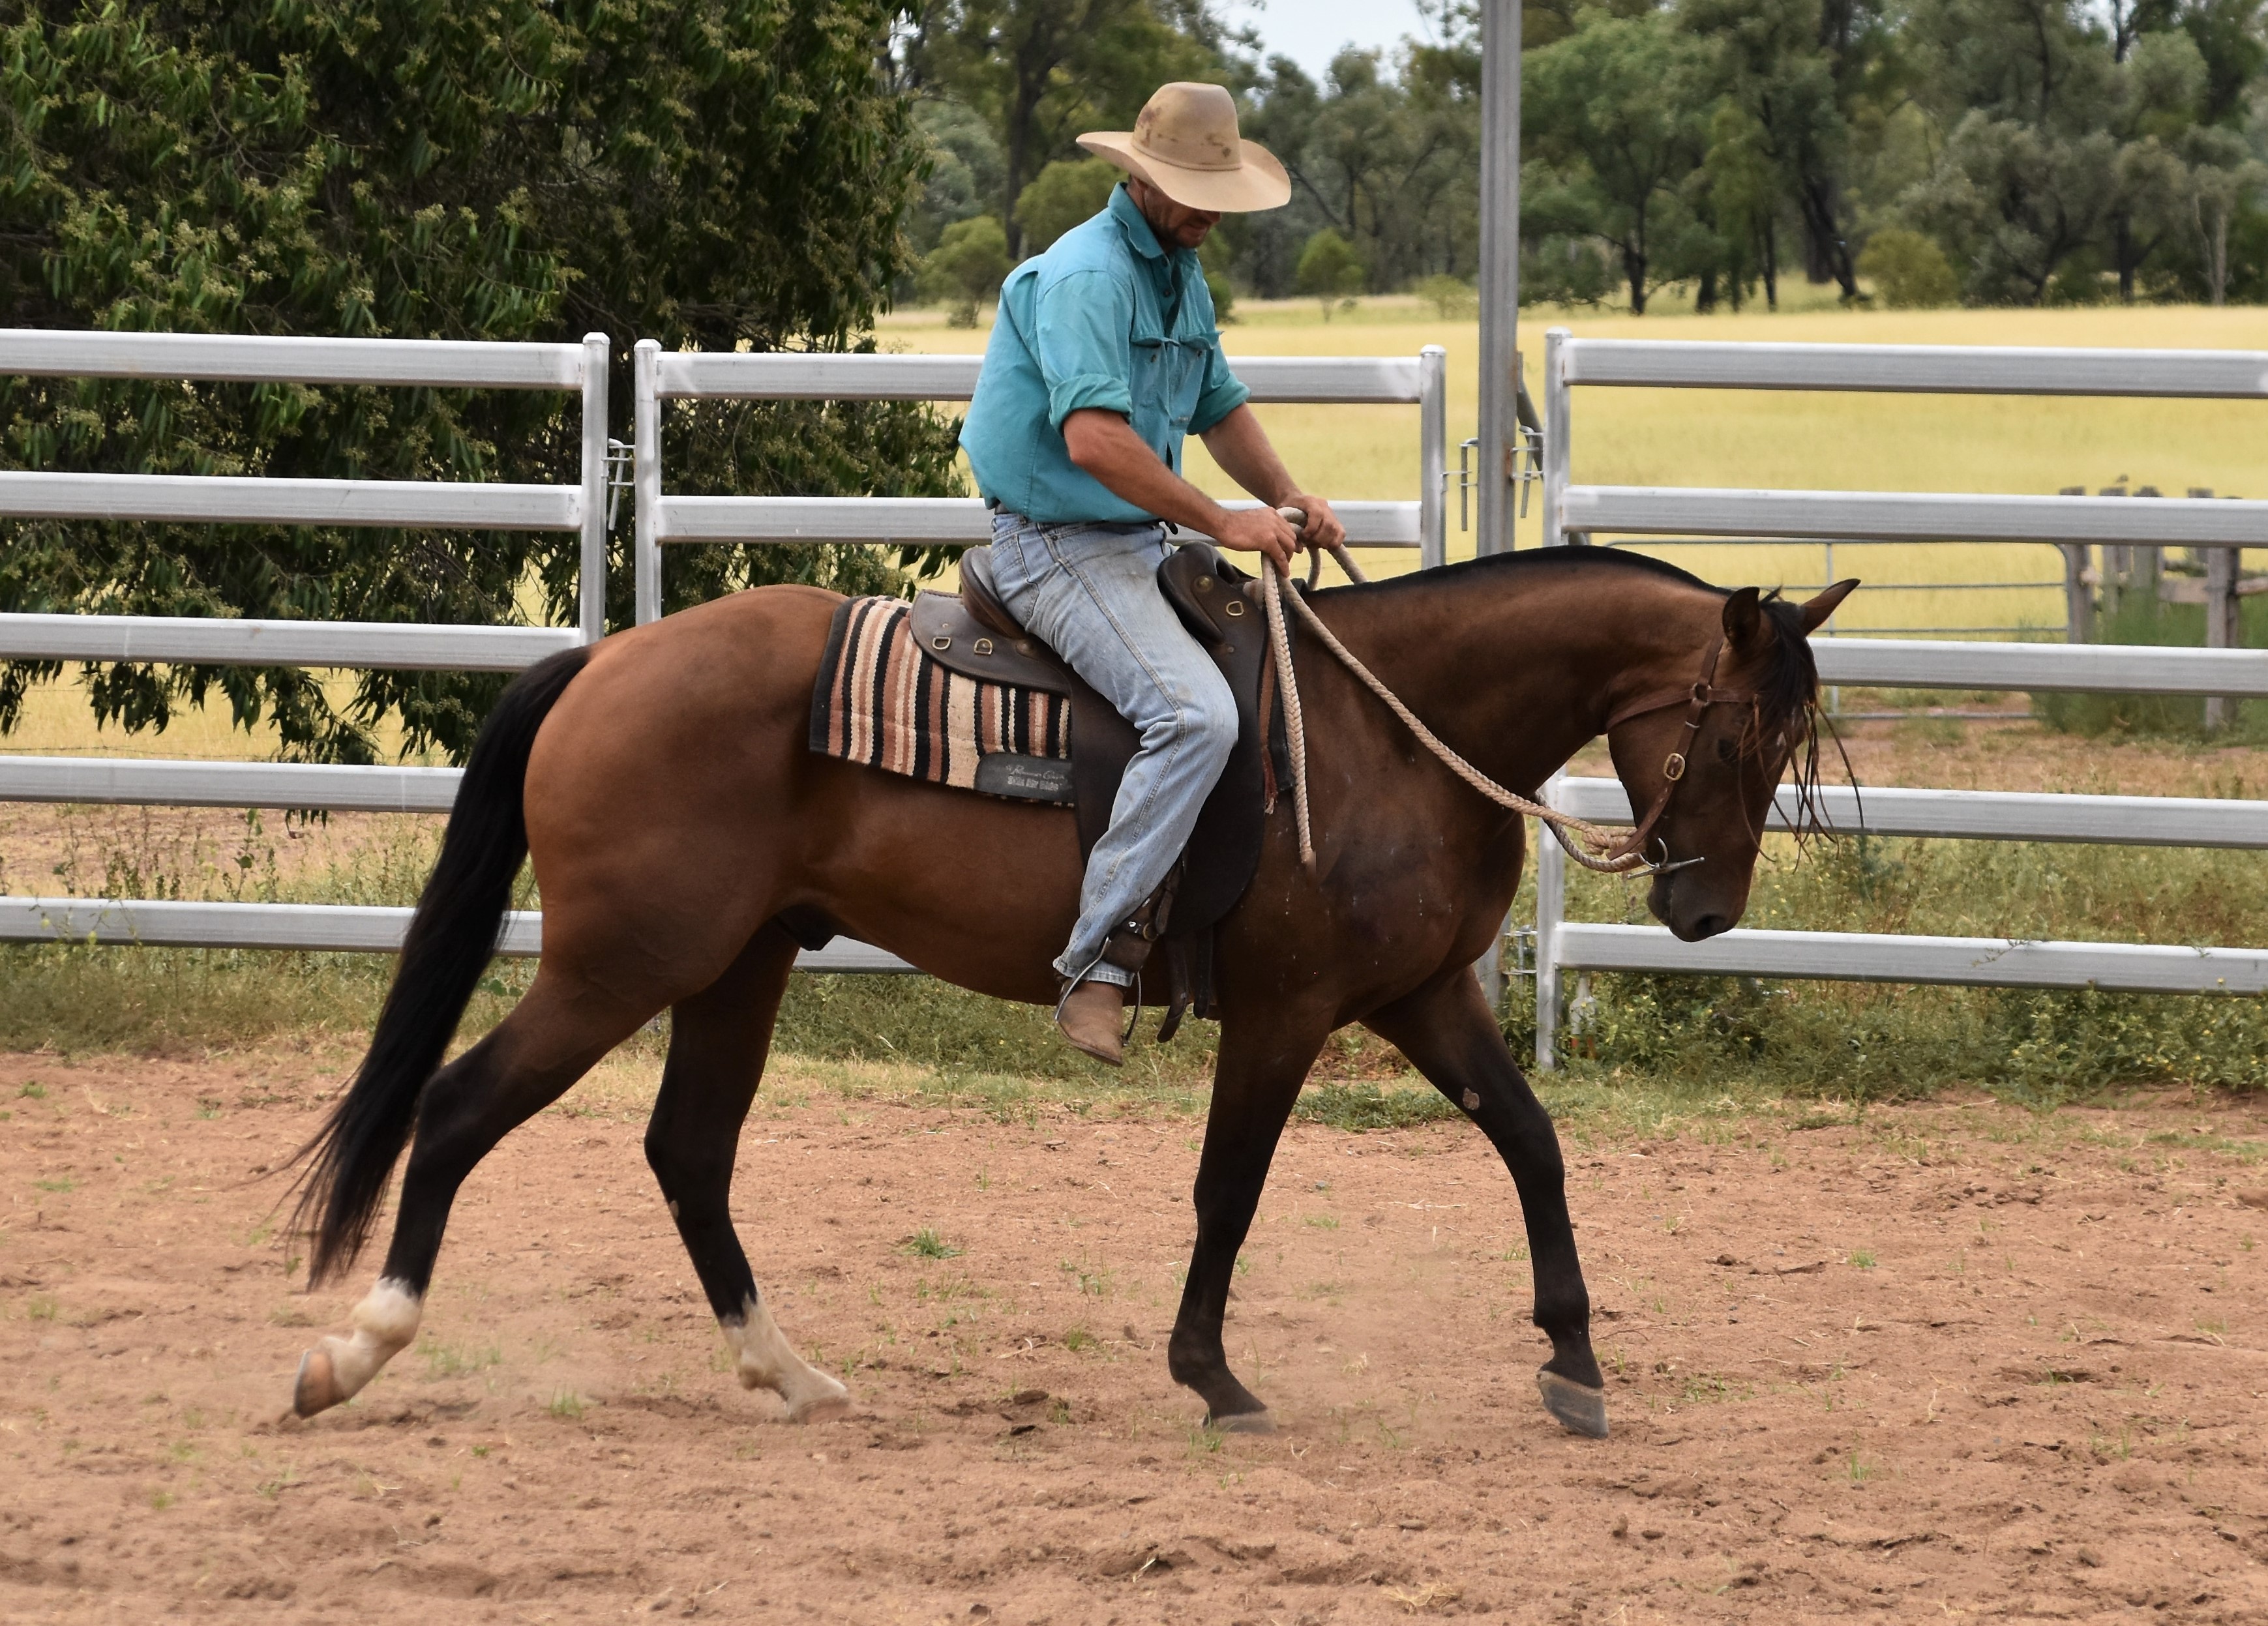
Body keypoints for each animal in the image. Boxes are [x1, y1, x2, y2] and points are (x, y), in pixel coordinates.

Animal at [286, 547, 1854, 1440]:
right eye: (1735, 736)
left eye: (1787, 742)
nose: (1704, 909)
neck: (1388, 733)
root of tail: (603, 659)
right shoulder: (1287, 1013)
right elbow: (1230, 1186)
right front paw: (1210, 1375)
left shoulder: (1421, 998)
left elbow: (1530, 1139)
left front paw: (1575, 1362)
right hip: (621, 963)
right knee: (459, 1106)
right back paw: (355, 1350)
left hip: (735, 965)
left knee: (688, 1150)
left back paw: (788, 1374)